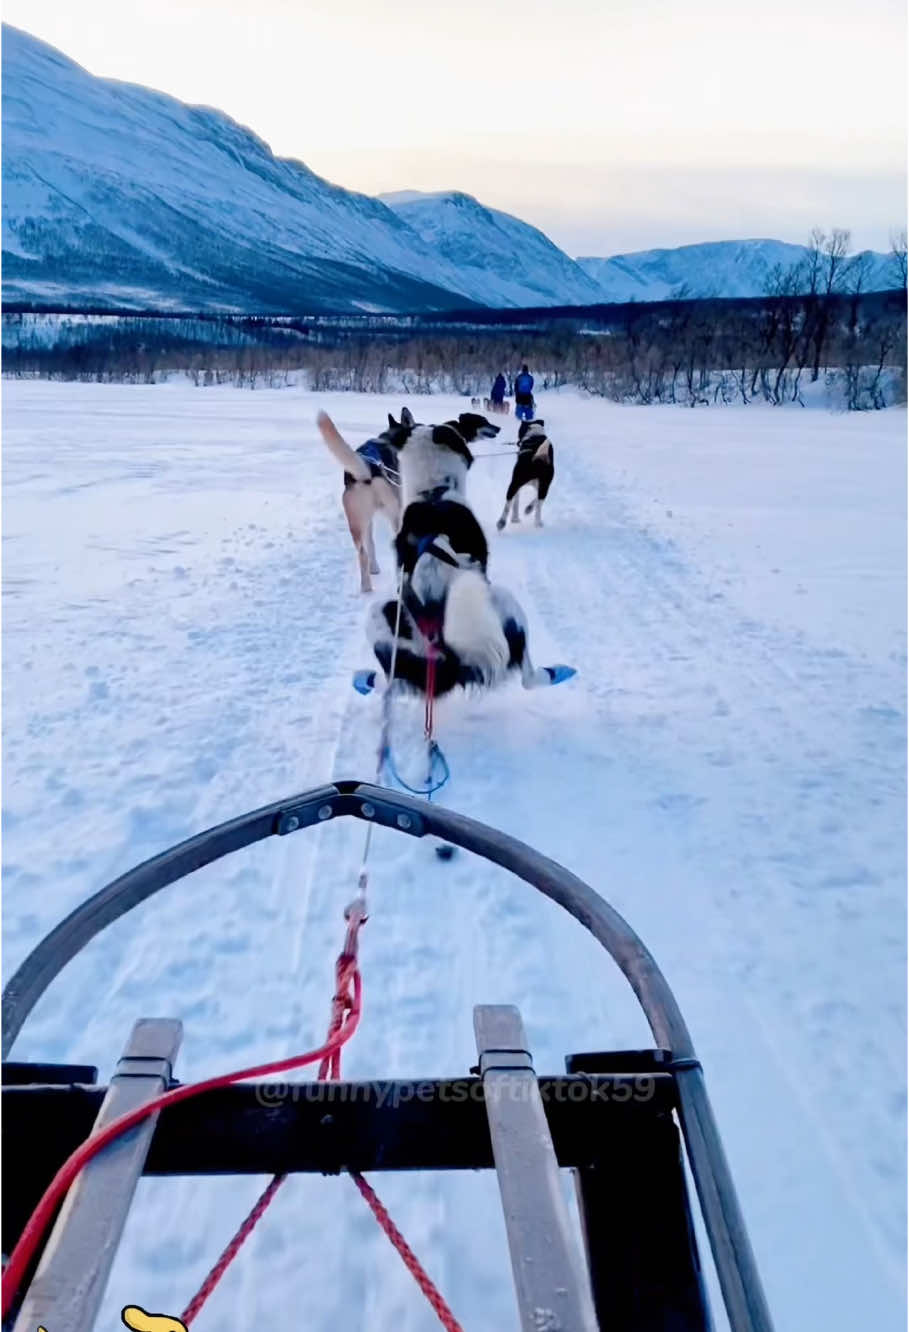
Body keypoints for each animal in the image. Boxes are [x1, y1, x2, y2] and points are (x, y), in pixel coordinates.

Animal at [318, 404, 570, 697]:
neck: (433, 493)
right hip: (505, 603)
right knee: (527, 676)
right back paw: (556, 672)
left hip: (382, 615)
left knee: (395, 679)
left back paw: (368, 680)